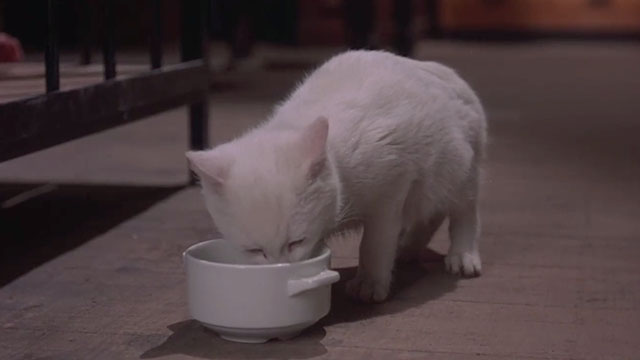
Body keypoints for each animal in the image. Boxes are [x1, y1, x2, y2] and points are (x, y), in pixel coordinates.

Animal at [188, 50, 488, 304]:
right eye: (254, 251)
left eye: (296, 242)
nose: (280, 269)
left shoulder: (394, 186)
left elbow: (374, 242)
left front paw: (370, 282)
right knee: (432, 212)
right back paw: (409, 248)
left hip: (461, 170)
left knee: (464, 211)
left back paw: (462, 255)